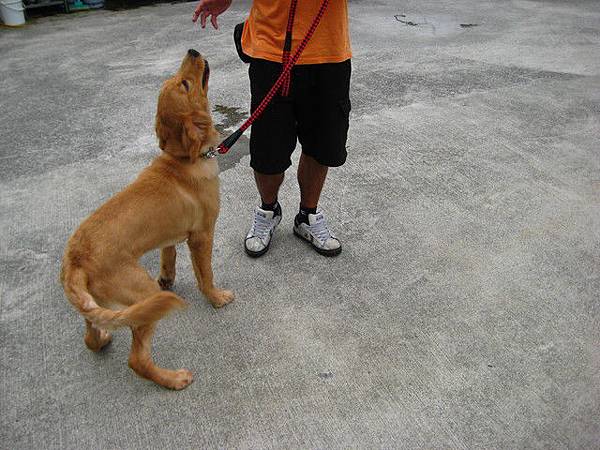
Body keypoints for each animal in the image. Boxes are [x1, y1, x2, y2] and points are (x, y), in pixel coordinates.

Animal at [58, 47, 232, 388]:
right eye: (185, 84)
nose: (192, 51)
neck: (183, 160)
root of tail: (75, 259)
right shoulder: (202, 235)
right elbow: (205, 275)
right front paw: (216, 298)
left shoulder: (172, 235)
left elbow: (168, 255)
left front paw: (168, 277)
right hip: (143, 296)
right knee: (136, 359)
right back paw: (173, 379)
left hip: (108, 304)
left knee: (90, 335)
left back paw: (102, 338)